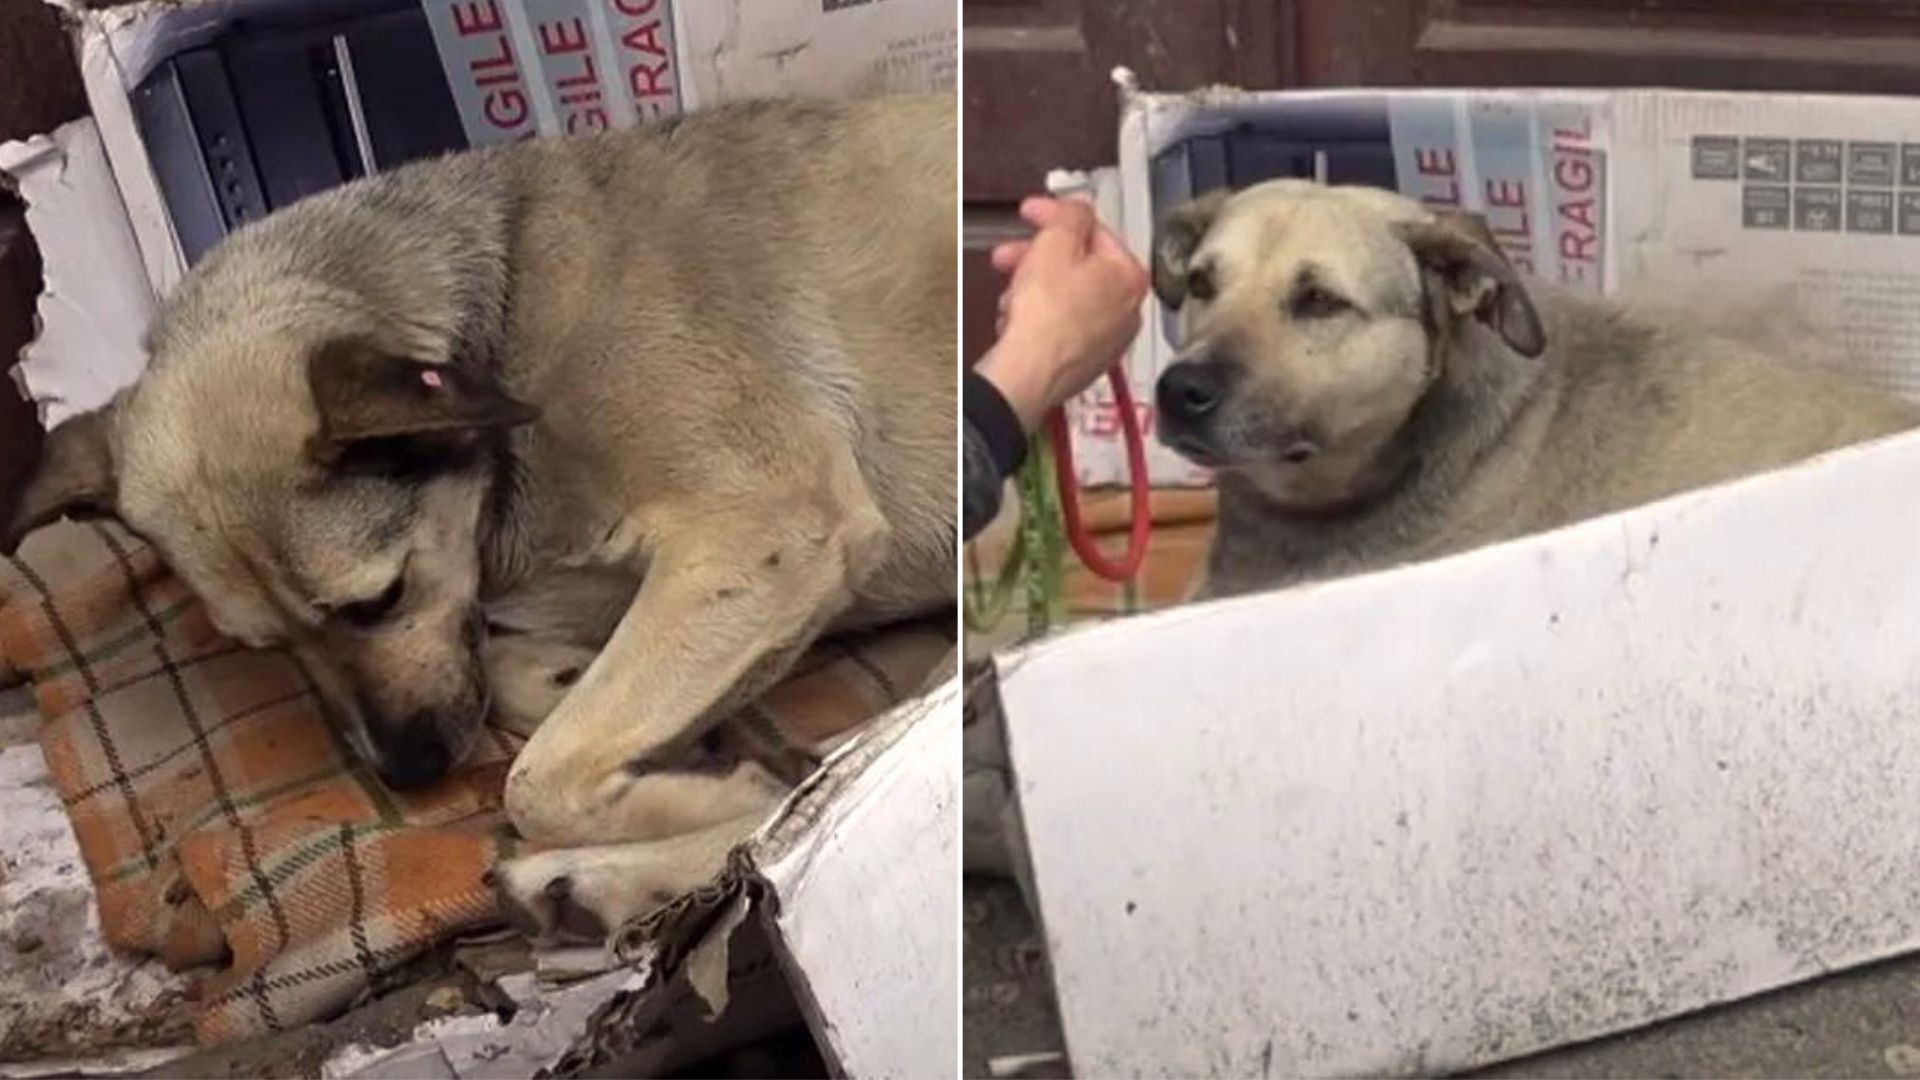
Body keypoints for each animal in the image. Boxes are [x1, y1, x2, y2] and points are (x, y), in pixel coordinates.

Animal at [1, 94, 960, 933]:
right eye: (268, 648)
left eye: (378, 599)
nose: (409, 772)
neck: (508, 320)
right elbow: (525, 681)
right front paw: (574, 688)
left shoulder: (766, 528)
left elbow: (536, 780)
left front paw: (727, 785)